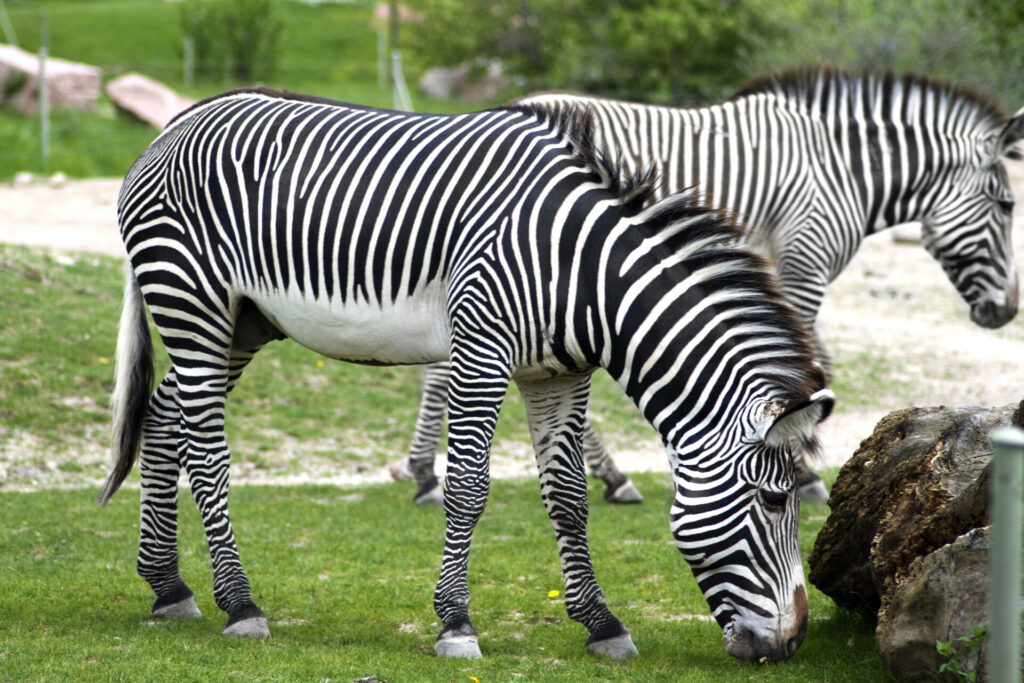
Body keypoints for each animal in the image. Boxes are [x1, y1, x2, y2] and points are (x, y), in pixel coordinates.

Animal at [96, 89, 835, 663]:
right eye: (776, 502)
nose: (793, 644)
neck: (585, 273)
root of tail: (175, 123)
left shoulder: (559, 373)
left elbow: (568, 496)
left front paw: (602, 623)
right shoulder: (481, 350)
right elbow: (470, 490)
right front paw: (456, 623)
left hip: (243, 322)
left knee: (161, 418)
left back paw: (169, 586)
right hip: (192, 301)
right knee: (204, 448)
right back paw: (240, 602)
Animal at [391, 68, 1024, 507]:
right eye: (1007, 204)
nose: (1006, 313)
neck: (843, 170)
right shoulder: (804, 262)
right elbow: (807, 367)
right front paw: (803, 468)